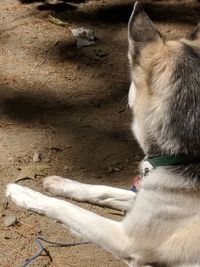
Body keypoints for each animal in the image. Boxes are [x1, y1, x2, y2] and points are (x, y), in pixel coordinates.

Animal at [5, 1, 200, 266]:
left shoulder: (125, 239)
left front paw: (26, 194)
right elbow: (103, 190)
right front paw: (61, 184)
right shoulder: (142, 196)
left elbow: (66, 208)